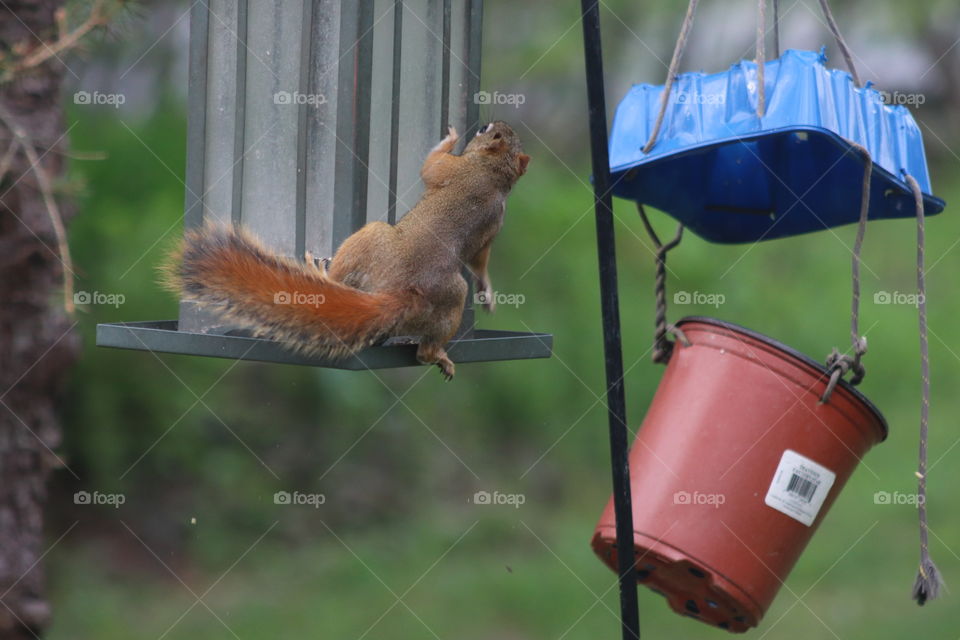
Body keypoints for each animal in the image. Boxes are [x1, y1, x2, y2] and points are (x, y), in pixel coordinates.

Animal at [163, 121, 530, 380]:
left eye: (486, 130)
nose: (480, 122)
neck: (493, 173)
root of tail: (399, 295)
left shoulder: (453, 171)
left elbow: (431, 167)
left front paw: (449, 139)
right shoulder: (492, 228)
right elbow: (480, 261)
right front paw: (487, 291)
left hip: (370, 237)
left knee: (341, 278)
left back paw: (319, 271)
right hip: (449, 300)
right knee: (428, 345)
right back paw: (437, 354)